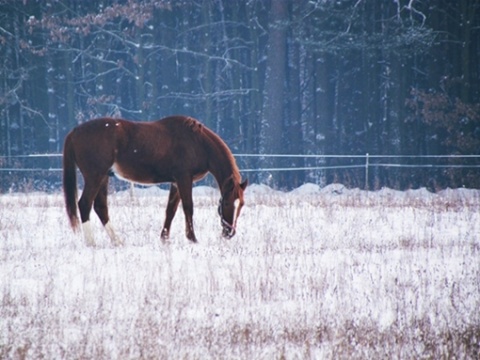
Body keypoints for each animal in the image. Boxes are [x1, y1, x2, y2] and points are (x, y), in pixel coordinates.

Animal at [62, 115, 248, 248]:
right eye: (226, 203)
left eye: (241, 204)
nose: (229, 233)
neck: (197, 142)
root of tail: (74, 131)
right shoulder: (184, 179)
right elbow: (188, 207)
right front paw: (192, 239)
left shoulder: (176, 183)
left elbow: (170, 210)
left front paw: (164, 238)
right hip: (95, 177)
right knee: (84, 204)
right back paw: (91, 243)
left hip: (103, 178)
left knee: (100, 207)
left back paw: (118, 241)